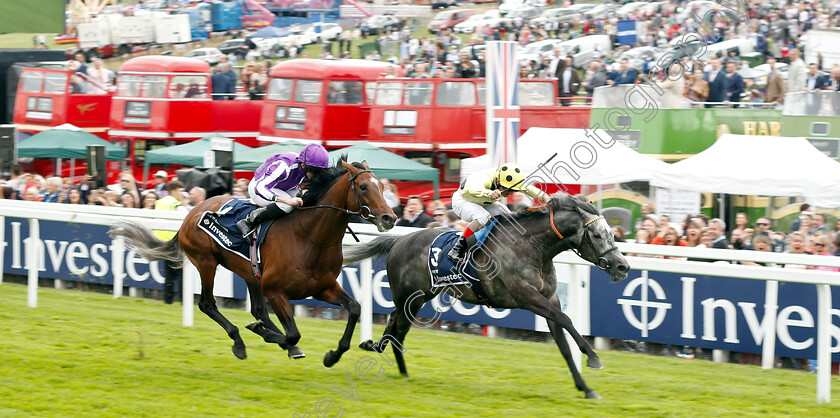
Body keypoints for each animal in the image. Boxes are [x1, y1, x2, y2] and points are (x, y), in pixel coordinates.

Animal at [110, 160, 396, 366]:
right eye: (363, 187)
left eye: (382, 187)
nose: (390, 217)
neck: (310, 236)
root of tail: (191, 212)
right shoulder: (276, 289)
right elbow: (293, 332)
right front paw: (271, 336)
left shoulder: (322, 288)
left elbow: (355, 308)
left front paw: (332, 355)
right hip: (206, 261)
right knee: (207, 304)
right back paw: (240, 341)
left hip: (250, 274)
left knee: (258, 310)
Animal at [342, 194, 632, 400]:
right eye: (597, 235)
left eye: (612, 233)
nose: (623, 266)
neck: (534, 246)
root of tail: (398, 241)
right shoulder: (527, 297)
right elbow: (566, 320)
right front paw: (593, 357)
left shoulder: (549, 299)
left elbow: (563, 344)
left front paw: (585, 388)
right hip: (409, 298)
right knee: (395, 326)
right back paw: (380, 352)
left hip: (419, 297)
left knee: (397, 328)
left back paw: (401, 371)